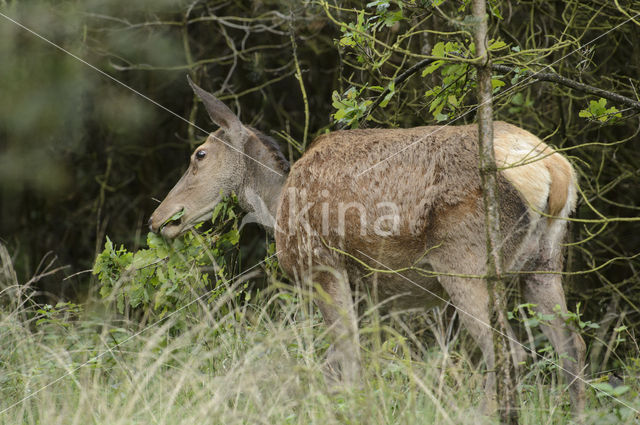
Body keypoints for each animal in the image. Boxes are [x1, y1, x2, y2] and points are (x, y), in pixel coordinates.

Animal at [149, 77, 584, 414]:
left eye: (200, 154)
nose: (159, 219)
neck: (275, 206)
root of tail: (555, 169)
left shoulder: (321, 265)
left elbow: (348, 355)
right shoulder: (370, 289)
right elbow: (349, 359)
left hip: (465, 260)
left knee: (508, 350)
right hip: (544, 260)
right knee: (571, 346)